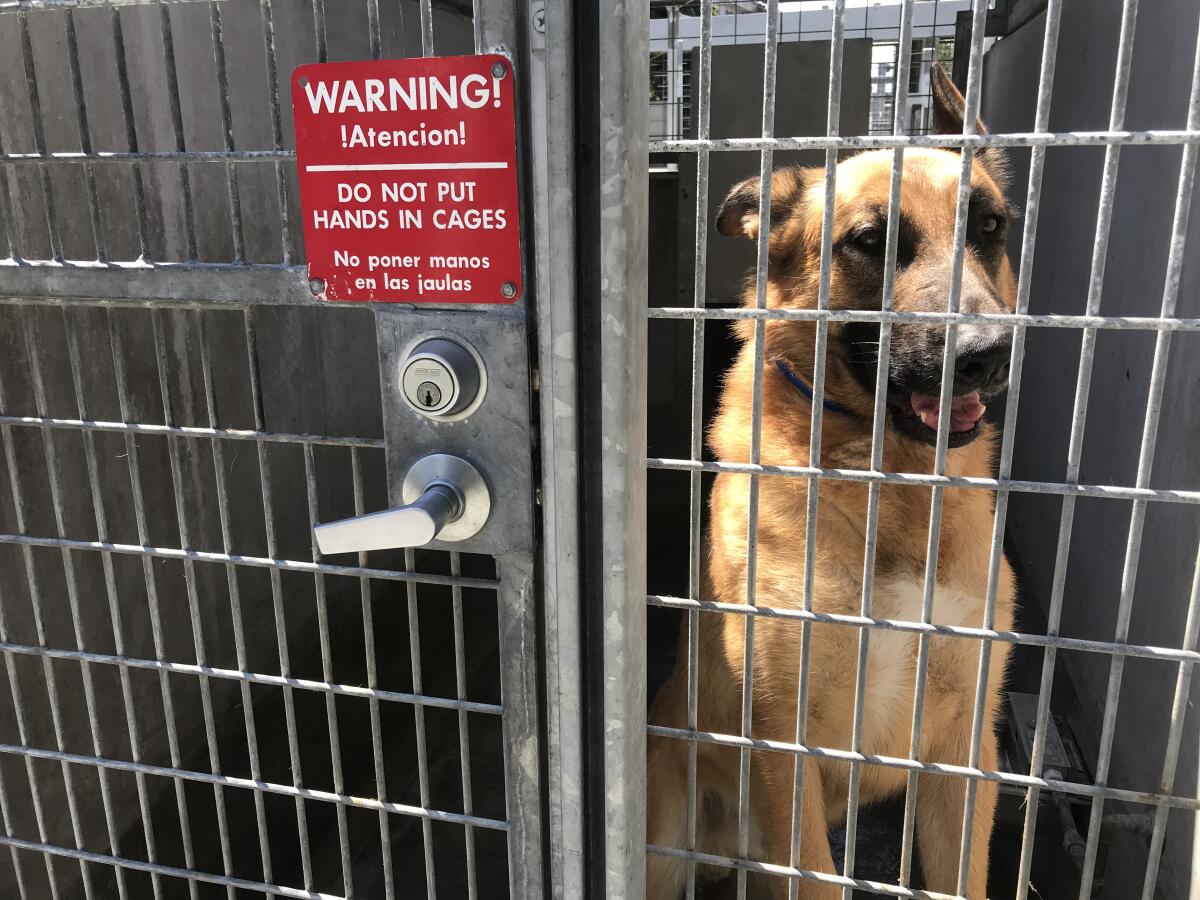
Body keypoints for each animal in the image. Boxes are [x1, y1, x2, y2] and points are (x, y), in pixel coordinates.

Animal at [652, 65, 1017, 900]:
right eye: (871, 242)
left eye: (988, 226)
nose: (987, 354)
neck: (891, 483)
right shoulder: (783, 756)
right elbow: (816, 877)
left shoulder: (964, 753)